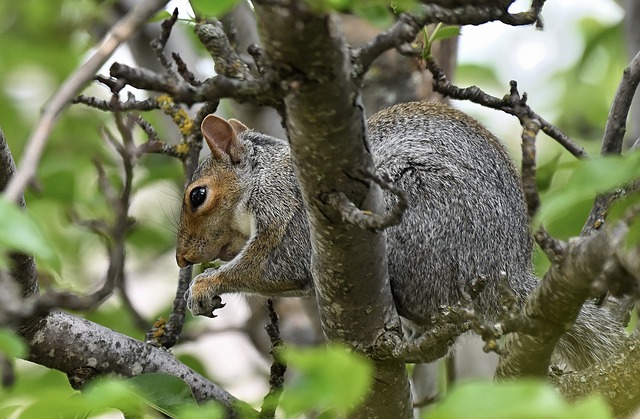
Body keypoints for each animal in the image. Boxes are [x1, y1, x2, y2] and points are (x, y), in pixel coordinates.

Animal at [178, 101, 628, 370]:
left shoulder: (286, 208)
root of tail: (504, 273)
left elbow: (277, 264)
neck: (264, 175)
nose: (183, 259)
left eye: (197, 196)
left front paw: (206, 283)